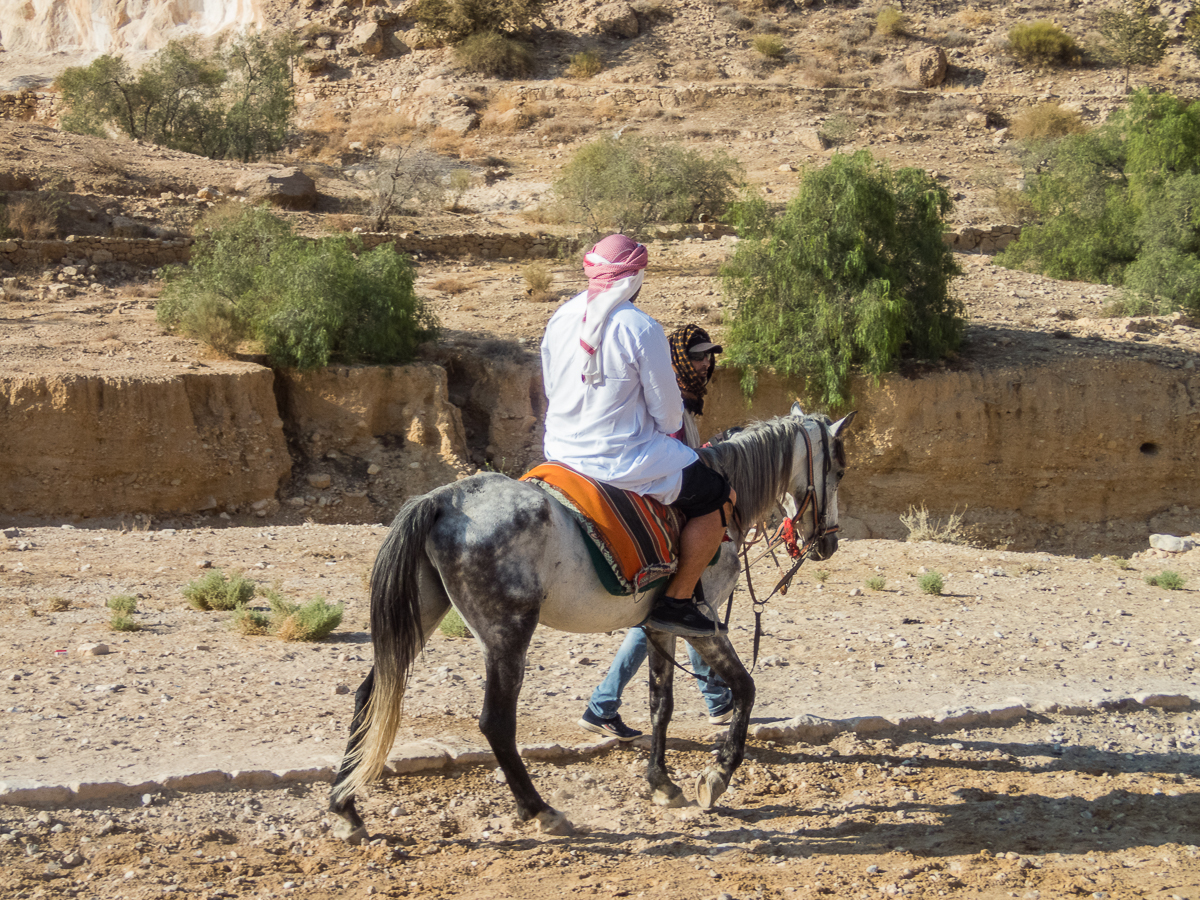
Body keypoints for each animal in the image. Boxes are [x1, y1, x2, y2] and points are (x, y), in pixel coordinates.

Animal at [328, 405, 854, 844]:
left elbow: (660, 705)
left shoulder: (658, 626)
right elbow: (745, 688)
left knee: (370, 693)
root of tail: (442, 499)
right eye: (841, 470)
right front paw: (716, 777)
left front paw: (662, 784)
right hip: (507, 635)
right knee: (495, 722)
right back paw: (540, 811)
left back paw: (345, 808)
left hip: (423, 613)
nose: (829, 543)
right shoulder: (700, 623)